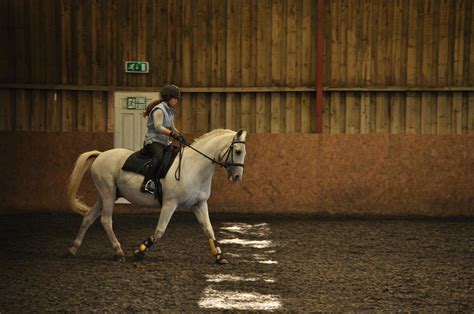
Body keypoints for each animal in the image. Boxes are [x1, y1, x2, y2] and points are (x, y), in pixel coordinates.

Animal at [66, 129, 248, 264]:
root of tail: (101, 154)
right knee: (105, 220)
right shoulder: (170, 203)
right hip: (108, 194)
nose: (237, 177)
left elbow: (208, 229)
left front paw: (219, 256)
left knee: (89, 217)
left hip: (105, 195)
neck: (194, 166)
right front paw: (139, 252)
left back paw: (74, 248)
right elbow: (160, 230)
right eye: (238, 151)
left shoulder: (199, 204)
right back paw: (119, 252)